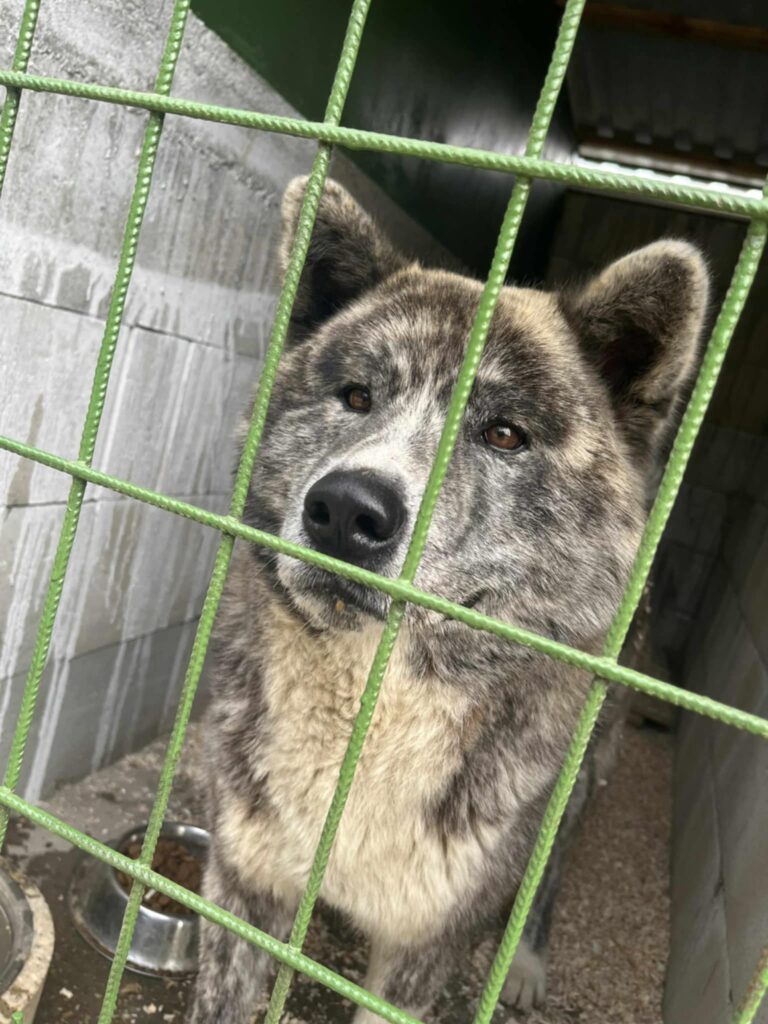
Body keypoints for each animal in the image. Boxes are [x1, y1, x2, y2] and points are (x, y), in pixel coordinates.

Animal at [189, 176, 708, 1023]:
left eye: (504, 434)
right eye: (356, 396)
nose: (346, 510)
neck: (371, 711)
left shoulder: (426, 944)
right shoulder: (242, 881)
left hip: (576, 786)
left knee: (547, 876)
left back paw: (525, 962)